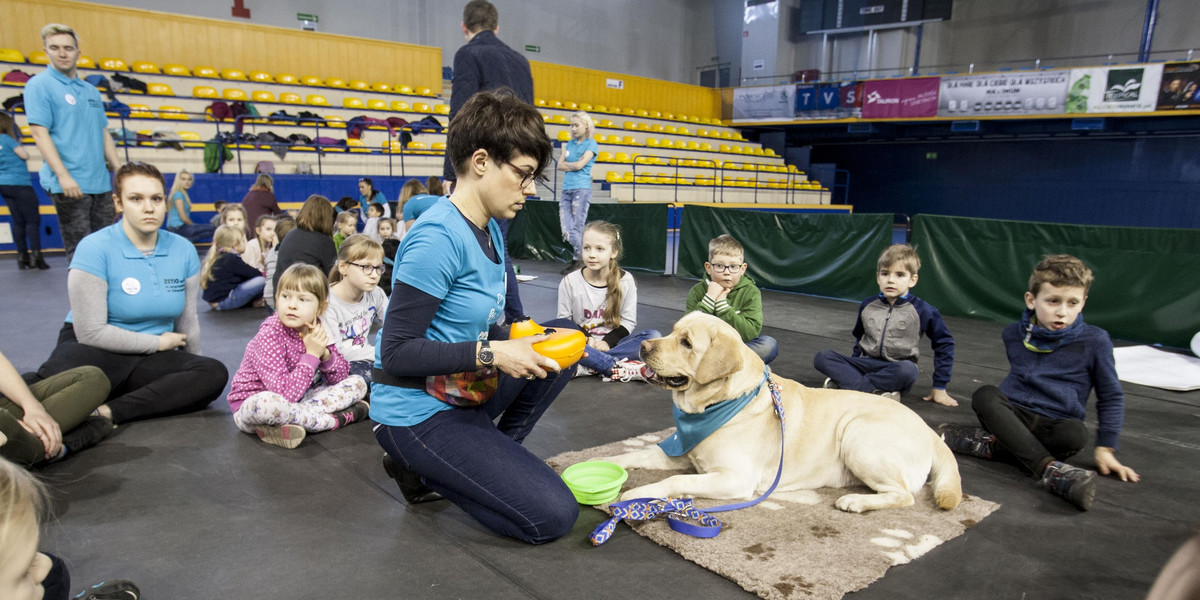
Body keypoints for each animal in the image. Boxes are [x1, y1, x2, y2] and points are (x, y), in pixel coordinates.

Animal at [604, 312, 960, 513]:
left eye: (687, 343)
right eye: (673, 331)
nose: (644, 347)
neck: (719, 404)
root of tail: (930, 432)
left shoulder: (735, 479)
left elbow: (676, 480)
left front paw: (635, 494)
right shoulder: (681, 454)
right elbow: (634, 455)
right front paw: (604, 464)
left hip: (858, 436)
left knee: (904, 495)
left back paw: (856, 502)